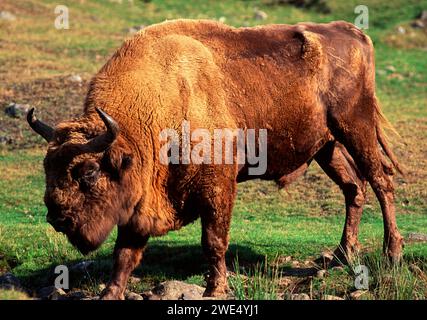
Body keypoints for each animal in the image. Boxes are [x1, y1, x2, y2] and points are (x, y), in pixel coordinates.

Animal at [27, 20, 404, 300]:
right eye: (48, 168)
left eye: (88, 171)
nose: (57, 217)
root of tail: (353, 32)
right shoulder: (141, 202)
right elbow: (125, 254)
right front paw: (110, 293)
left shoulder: (217, 188)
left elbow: (213, 242)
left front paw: (216, 289)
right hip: (327, 146)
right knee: (354, 188)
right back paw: (341, 254)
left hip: (355, 127)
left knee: (380, 181)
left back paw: (392, 253)